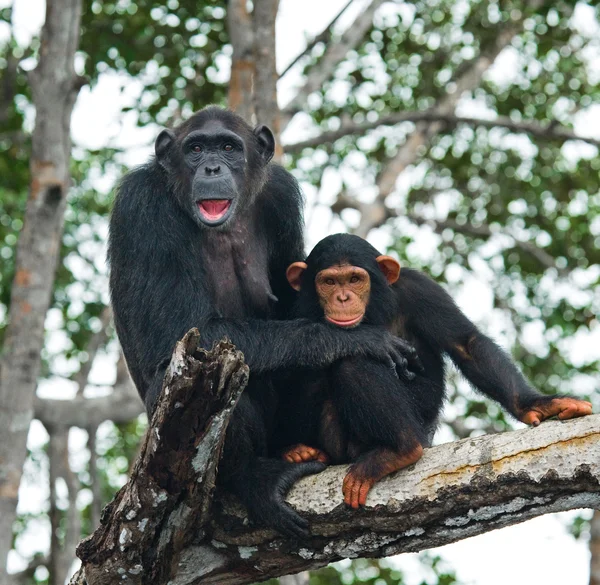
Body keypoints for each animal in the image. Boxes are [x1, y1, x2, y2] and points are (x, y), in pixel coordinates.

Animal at [109, 107, 418, 536]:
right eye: (195, 148)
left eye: (228, 147)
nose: (212, 167)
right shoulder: (142, 208)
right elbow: (180, 330)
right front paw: (363, 339)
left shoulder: (281, 196)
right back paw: (257, 479)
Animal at [274, 233, 592, 506]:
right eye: (328, 281)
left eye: (354, 279)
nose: (343, 298)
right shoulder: (296, 310)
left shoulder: (420, 289)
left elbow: (465, 342)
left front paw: (534, 403)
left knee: (352, 364)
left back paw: (401, 450)